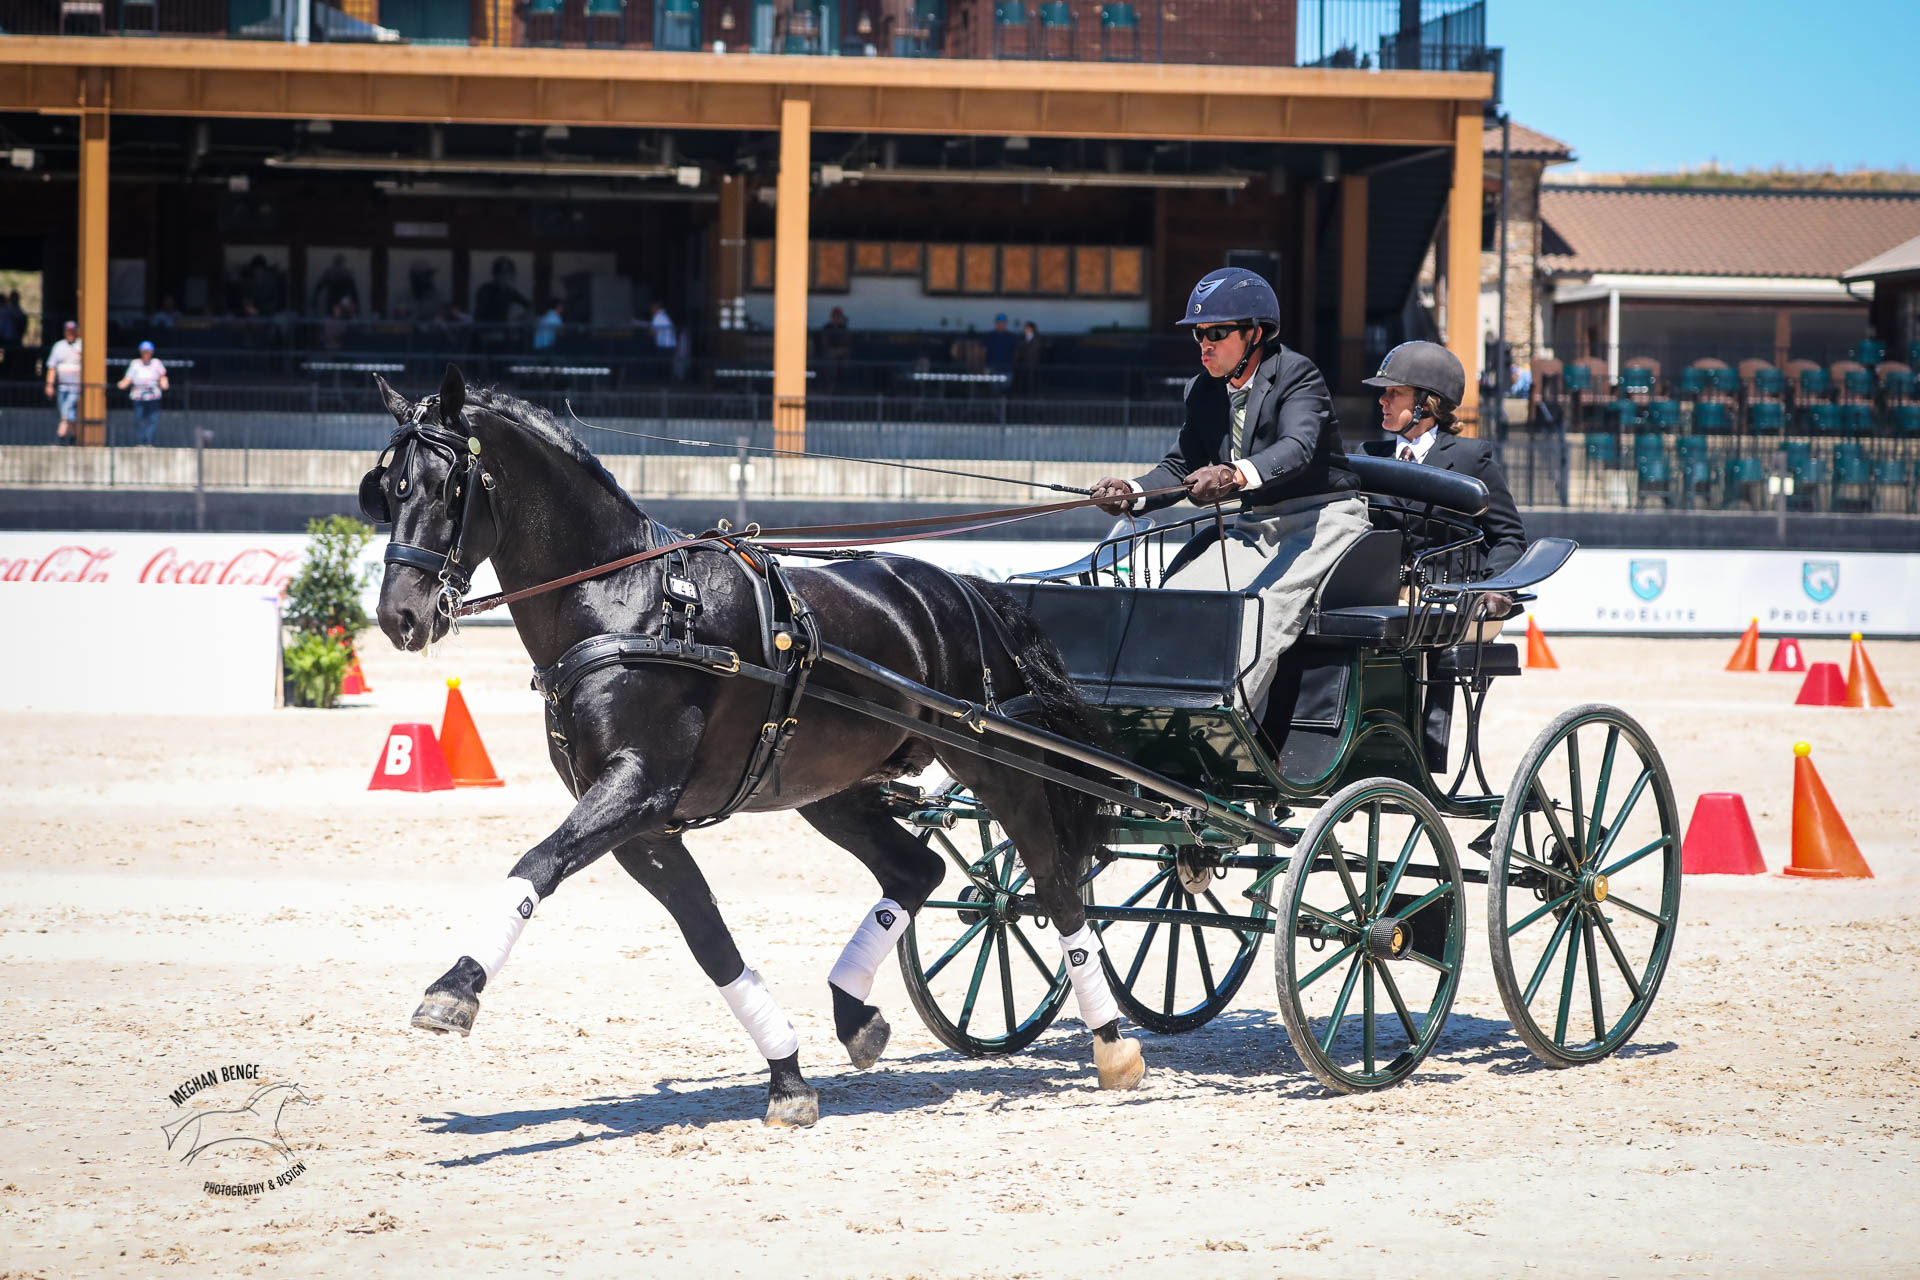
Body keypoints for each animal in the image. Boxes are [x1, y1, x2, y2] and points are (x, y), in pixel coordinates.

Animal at [370, 364, 1136, 1128]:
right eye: (389, 489)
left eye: (448, 487)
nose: (397, 615)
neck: (628, 600)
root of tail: (967, 588)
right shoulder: (644, 826)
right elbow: (710, 942)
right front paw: (788, 1076)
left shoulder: (637, 788)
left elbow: (536, 863)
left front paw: (455, 987)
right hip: (831, 788)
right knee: (918, 870)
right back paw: (854, 1013)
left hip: (993, 763)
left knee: (1053, 883)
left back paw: (1111, 1043)